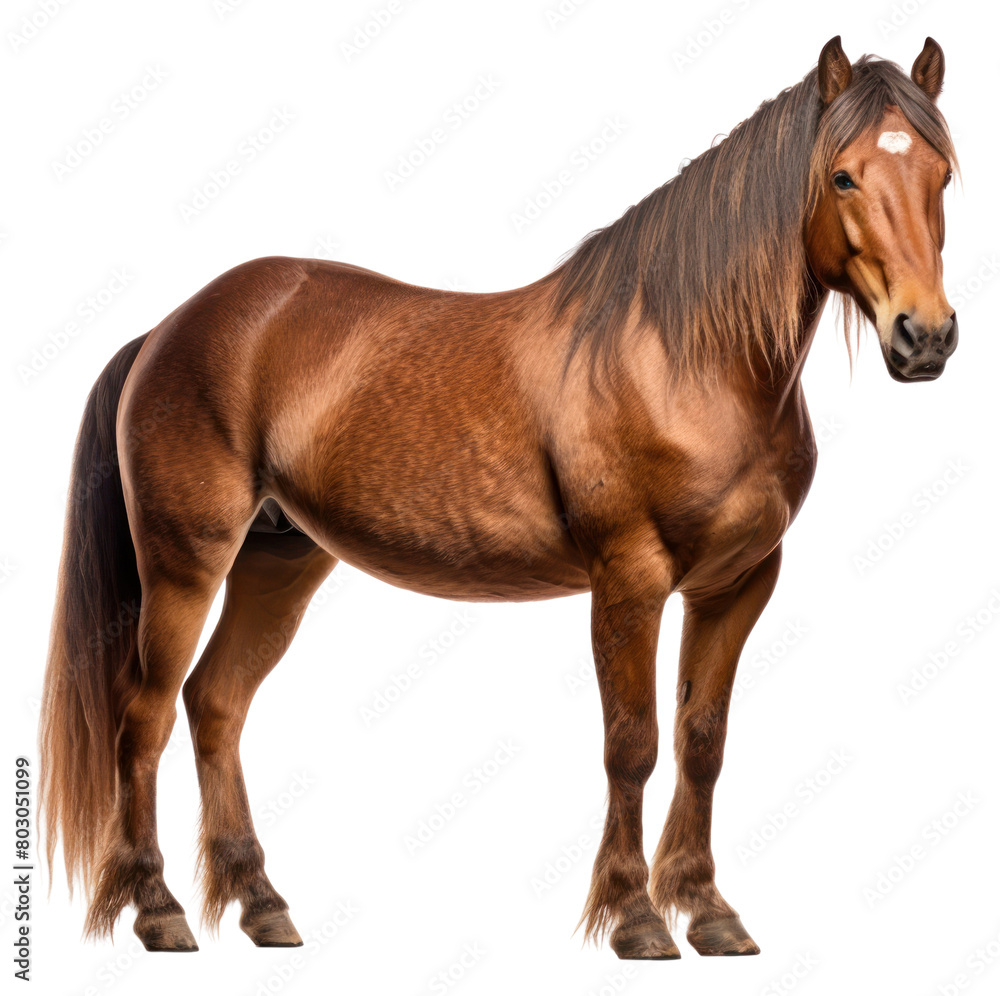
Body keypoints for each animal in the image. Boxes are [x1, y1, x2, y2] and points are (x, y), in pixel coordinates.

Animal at [40, 35, 958, 960]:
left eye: (944, 173)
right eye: (842, 177)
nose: (926, 336)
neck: (682, 360)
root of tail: (170, 327)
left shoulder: (736, 585)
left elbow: (703, 743)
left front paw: (709, 912)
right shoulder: (629, 582)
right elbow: (633, 744)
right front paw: (636, 918)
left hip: (279, 560)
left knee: (216, 705)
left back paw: (262, 904)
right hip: (185, 564)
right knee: (145, 717)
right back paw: (158, 911)